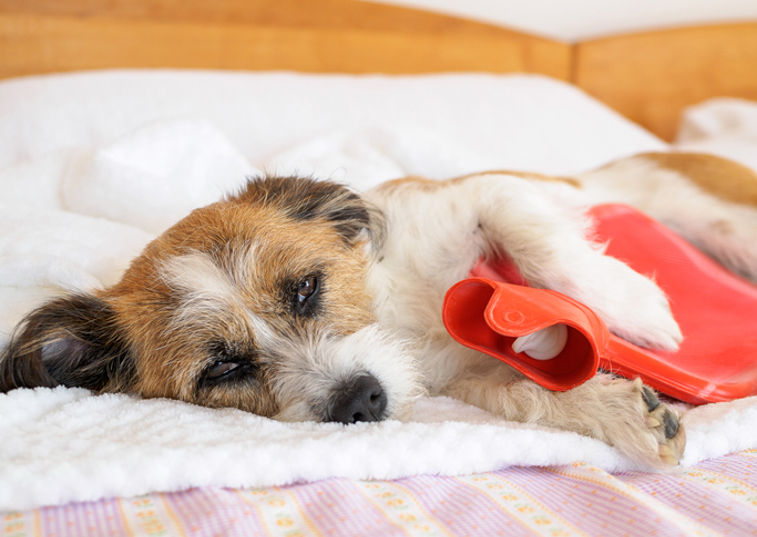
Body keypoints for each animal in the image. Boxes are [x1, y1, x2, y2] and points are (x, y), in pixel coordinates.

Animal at [2, 150, 752, 464]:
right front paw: (628, 413)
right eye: (222, 368)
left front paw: (637, 307)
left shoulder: (483, 193)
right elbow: (527, 395)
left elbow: (534, 236)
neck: (401, 318)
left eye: (305, 287)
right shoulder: (468, 378)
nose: (359, 399)